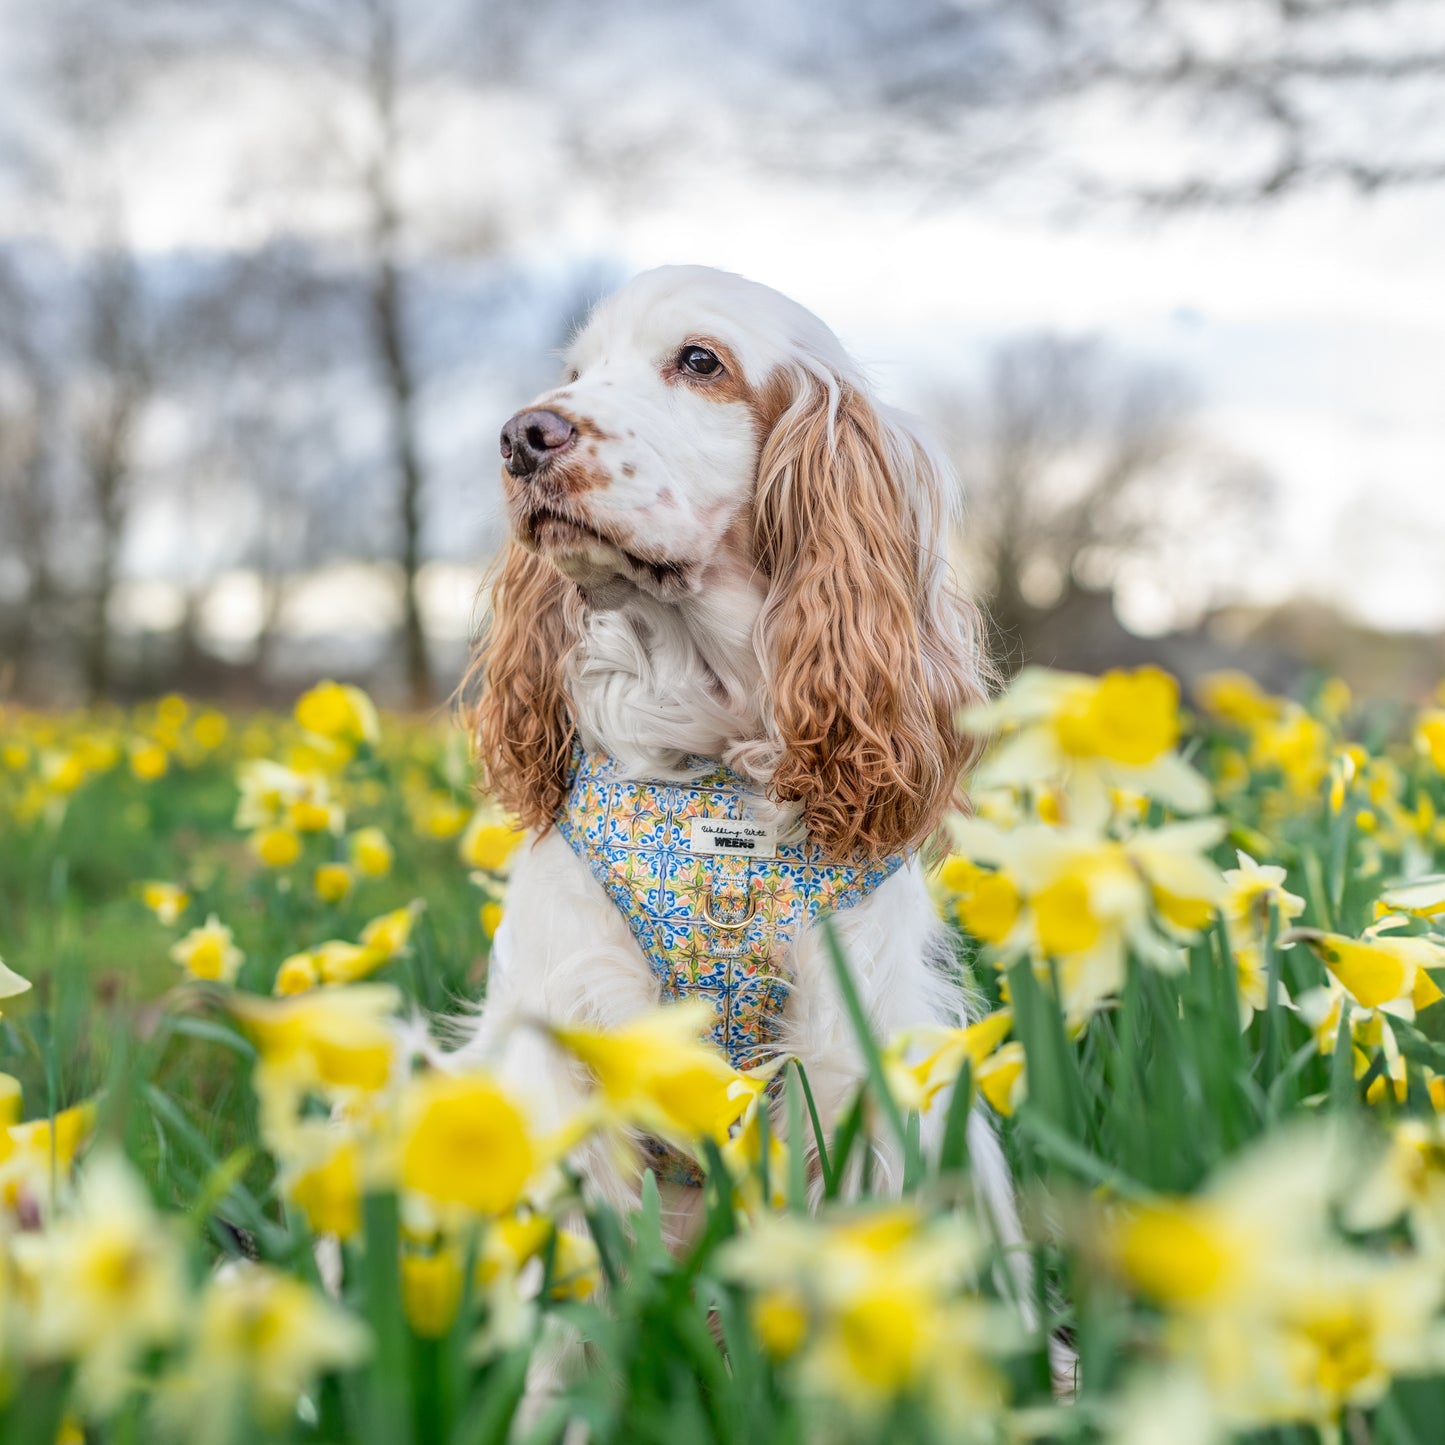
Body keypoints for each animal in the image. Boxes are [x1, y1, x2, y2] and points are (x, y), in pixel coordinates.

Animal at [459, 268, 1017, 1254]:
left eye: (699, 361)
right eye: (575, 372)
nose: (523, 435)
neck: (708, 756)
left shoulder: (844, 1045)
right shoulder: (568, 1023)